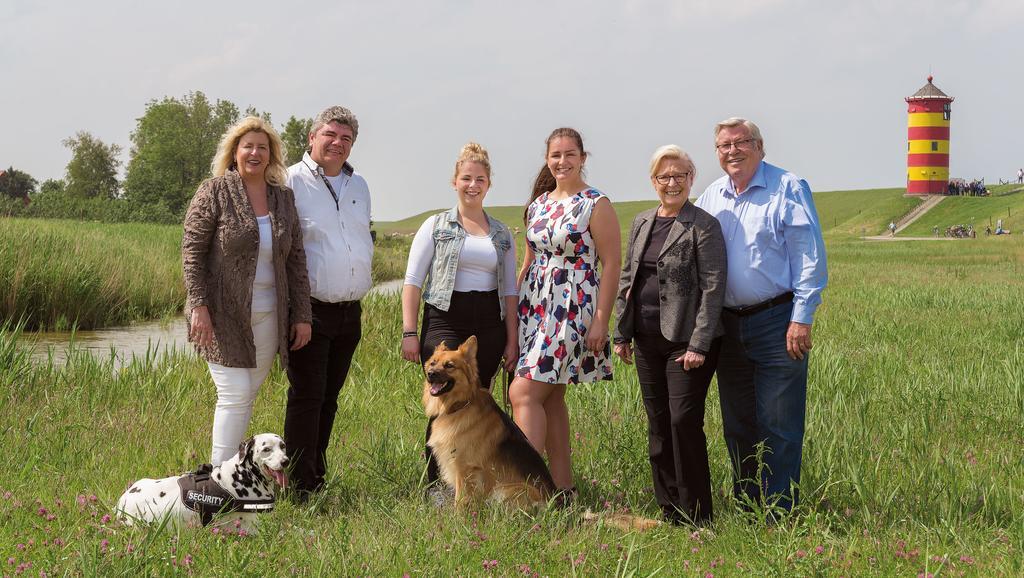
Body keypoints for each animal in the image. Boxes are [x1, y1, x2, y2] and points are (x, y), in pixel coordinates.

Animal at [419, 336, 557, 508]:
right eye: (432, 363)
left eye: (449, 365)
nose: (430, 374)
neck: (460, 405)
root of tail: (552, 503)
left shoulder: (464, 469)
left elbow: (460, 500)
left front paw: (458, 515)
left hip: (506, 490)